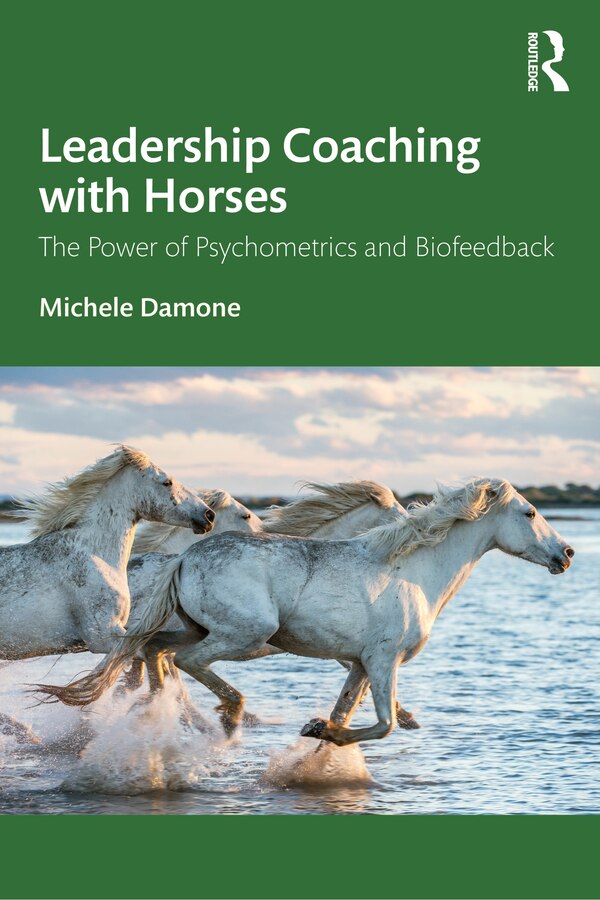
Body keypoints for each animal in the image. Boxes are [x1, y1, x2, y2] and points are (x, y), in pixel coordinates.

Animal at [36, 478, 575, 750]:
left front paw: (324, 735)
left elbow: (352, 711)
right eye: (529, 513)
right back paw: (228, 716)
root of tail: (185, 557)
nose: (566, 554)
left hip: (195, 630)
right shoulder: (383, 661)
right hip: (245, 633)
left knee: (154, 652)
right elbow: (383, 724)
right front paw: (320, 729)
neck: (414, 572)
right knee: (183, 663)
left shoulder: (358, 663)